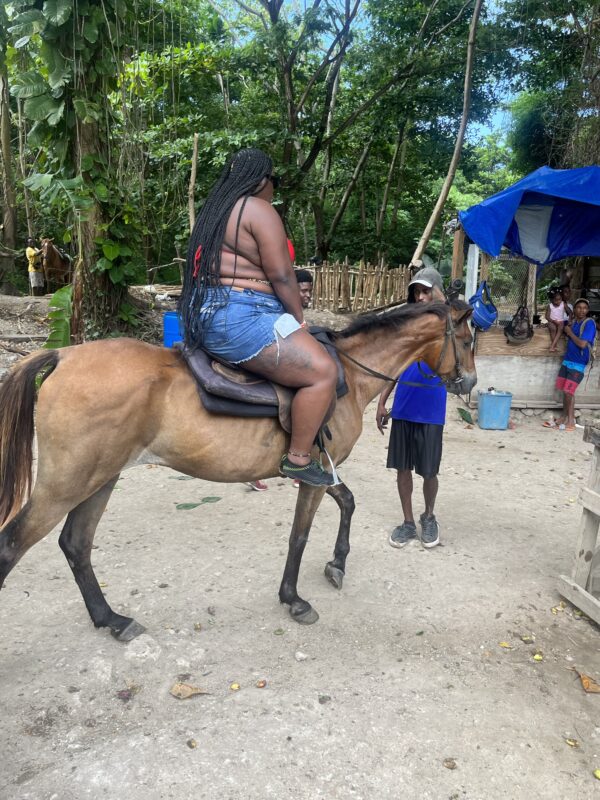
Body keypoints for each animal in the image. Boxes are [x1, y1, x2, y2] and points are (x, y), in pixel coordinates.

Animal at [0, 302, 478, 644]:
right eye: (469, 339)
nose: (470, 383)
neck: (348, 375)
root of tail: (63, 355)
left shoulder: (320, 471)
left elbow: (347, 502)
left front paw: (337, 563)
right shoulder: (313, 475)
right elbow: (300, 535)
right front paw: (293, 599)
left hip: (101, 478)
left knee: (76, 544)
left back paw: (112, 620)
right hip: (67, 484)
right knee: (12, 546)